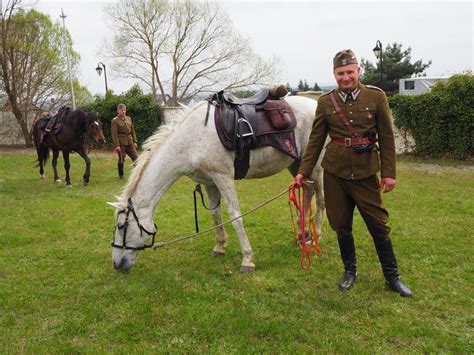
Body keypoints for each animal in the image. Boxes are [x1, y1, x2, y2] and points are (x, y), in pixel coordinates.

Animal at [110, 96, 326, 274]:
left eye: (121, 226)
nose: (116, 264)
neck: (190, 141)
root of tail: (315, 104)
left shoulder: (223, 178)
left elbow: (235, 216)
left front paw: (247, 259)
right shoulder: (210, 182)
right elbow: (215, 214)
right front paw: (220, 246)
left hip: (315, 167)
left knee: (320, 199)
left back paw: (316, 234)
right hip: (297, 165)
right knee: (307, 192)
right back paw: (303, 234)